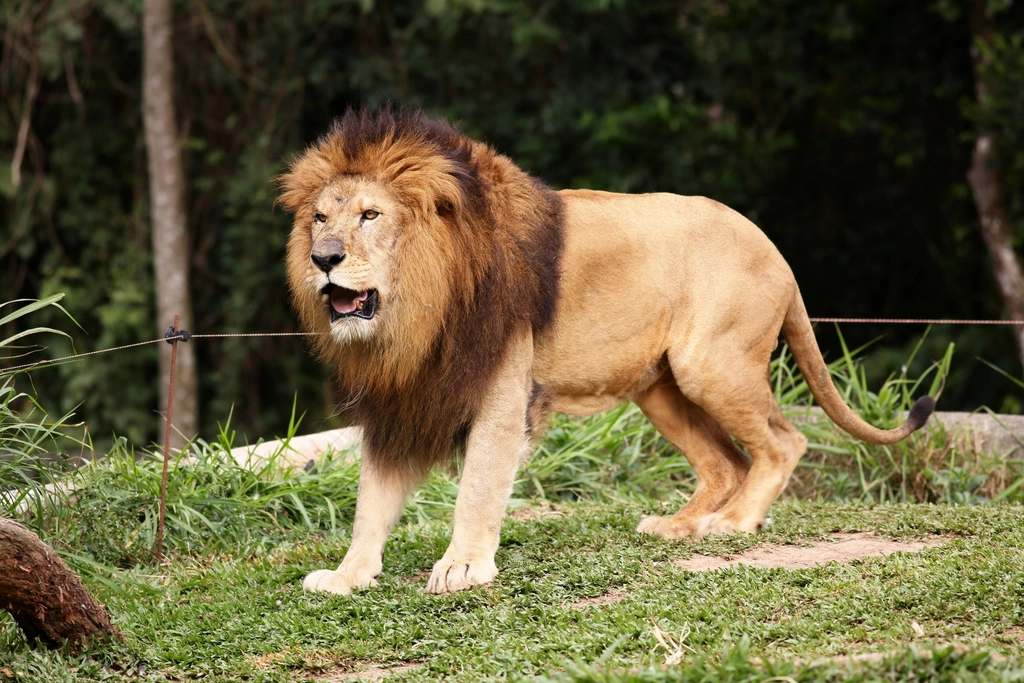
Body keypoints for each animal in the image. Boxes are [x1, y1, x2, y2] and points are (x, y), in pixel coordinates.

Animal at [278, 108, 934, 596]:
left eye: (371, 215)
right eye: (320, 218)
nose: (323, 258)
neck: (416, 313)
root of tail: (775, 251)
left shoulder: (501, 390)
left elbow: (479, 486)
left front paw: (462, 565)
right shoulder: (402, 400)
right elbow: (372, 499)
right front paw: (346, 576)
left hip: (711, 365)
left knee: (783, 442)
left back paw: (731, 524)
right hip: (661, 388)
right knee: (727, 462)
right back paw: (677, 527)